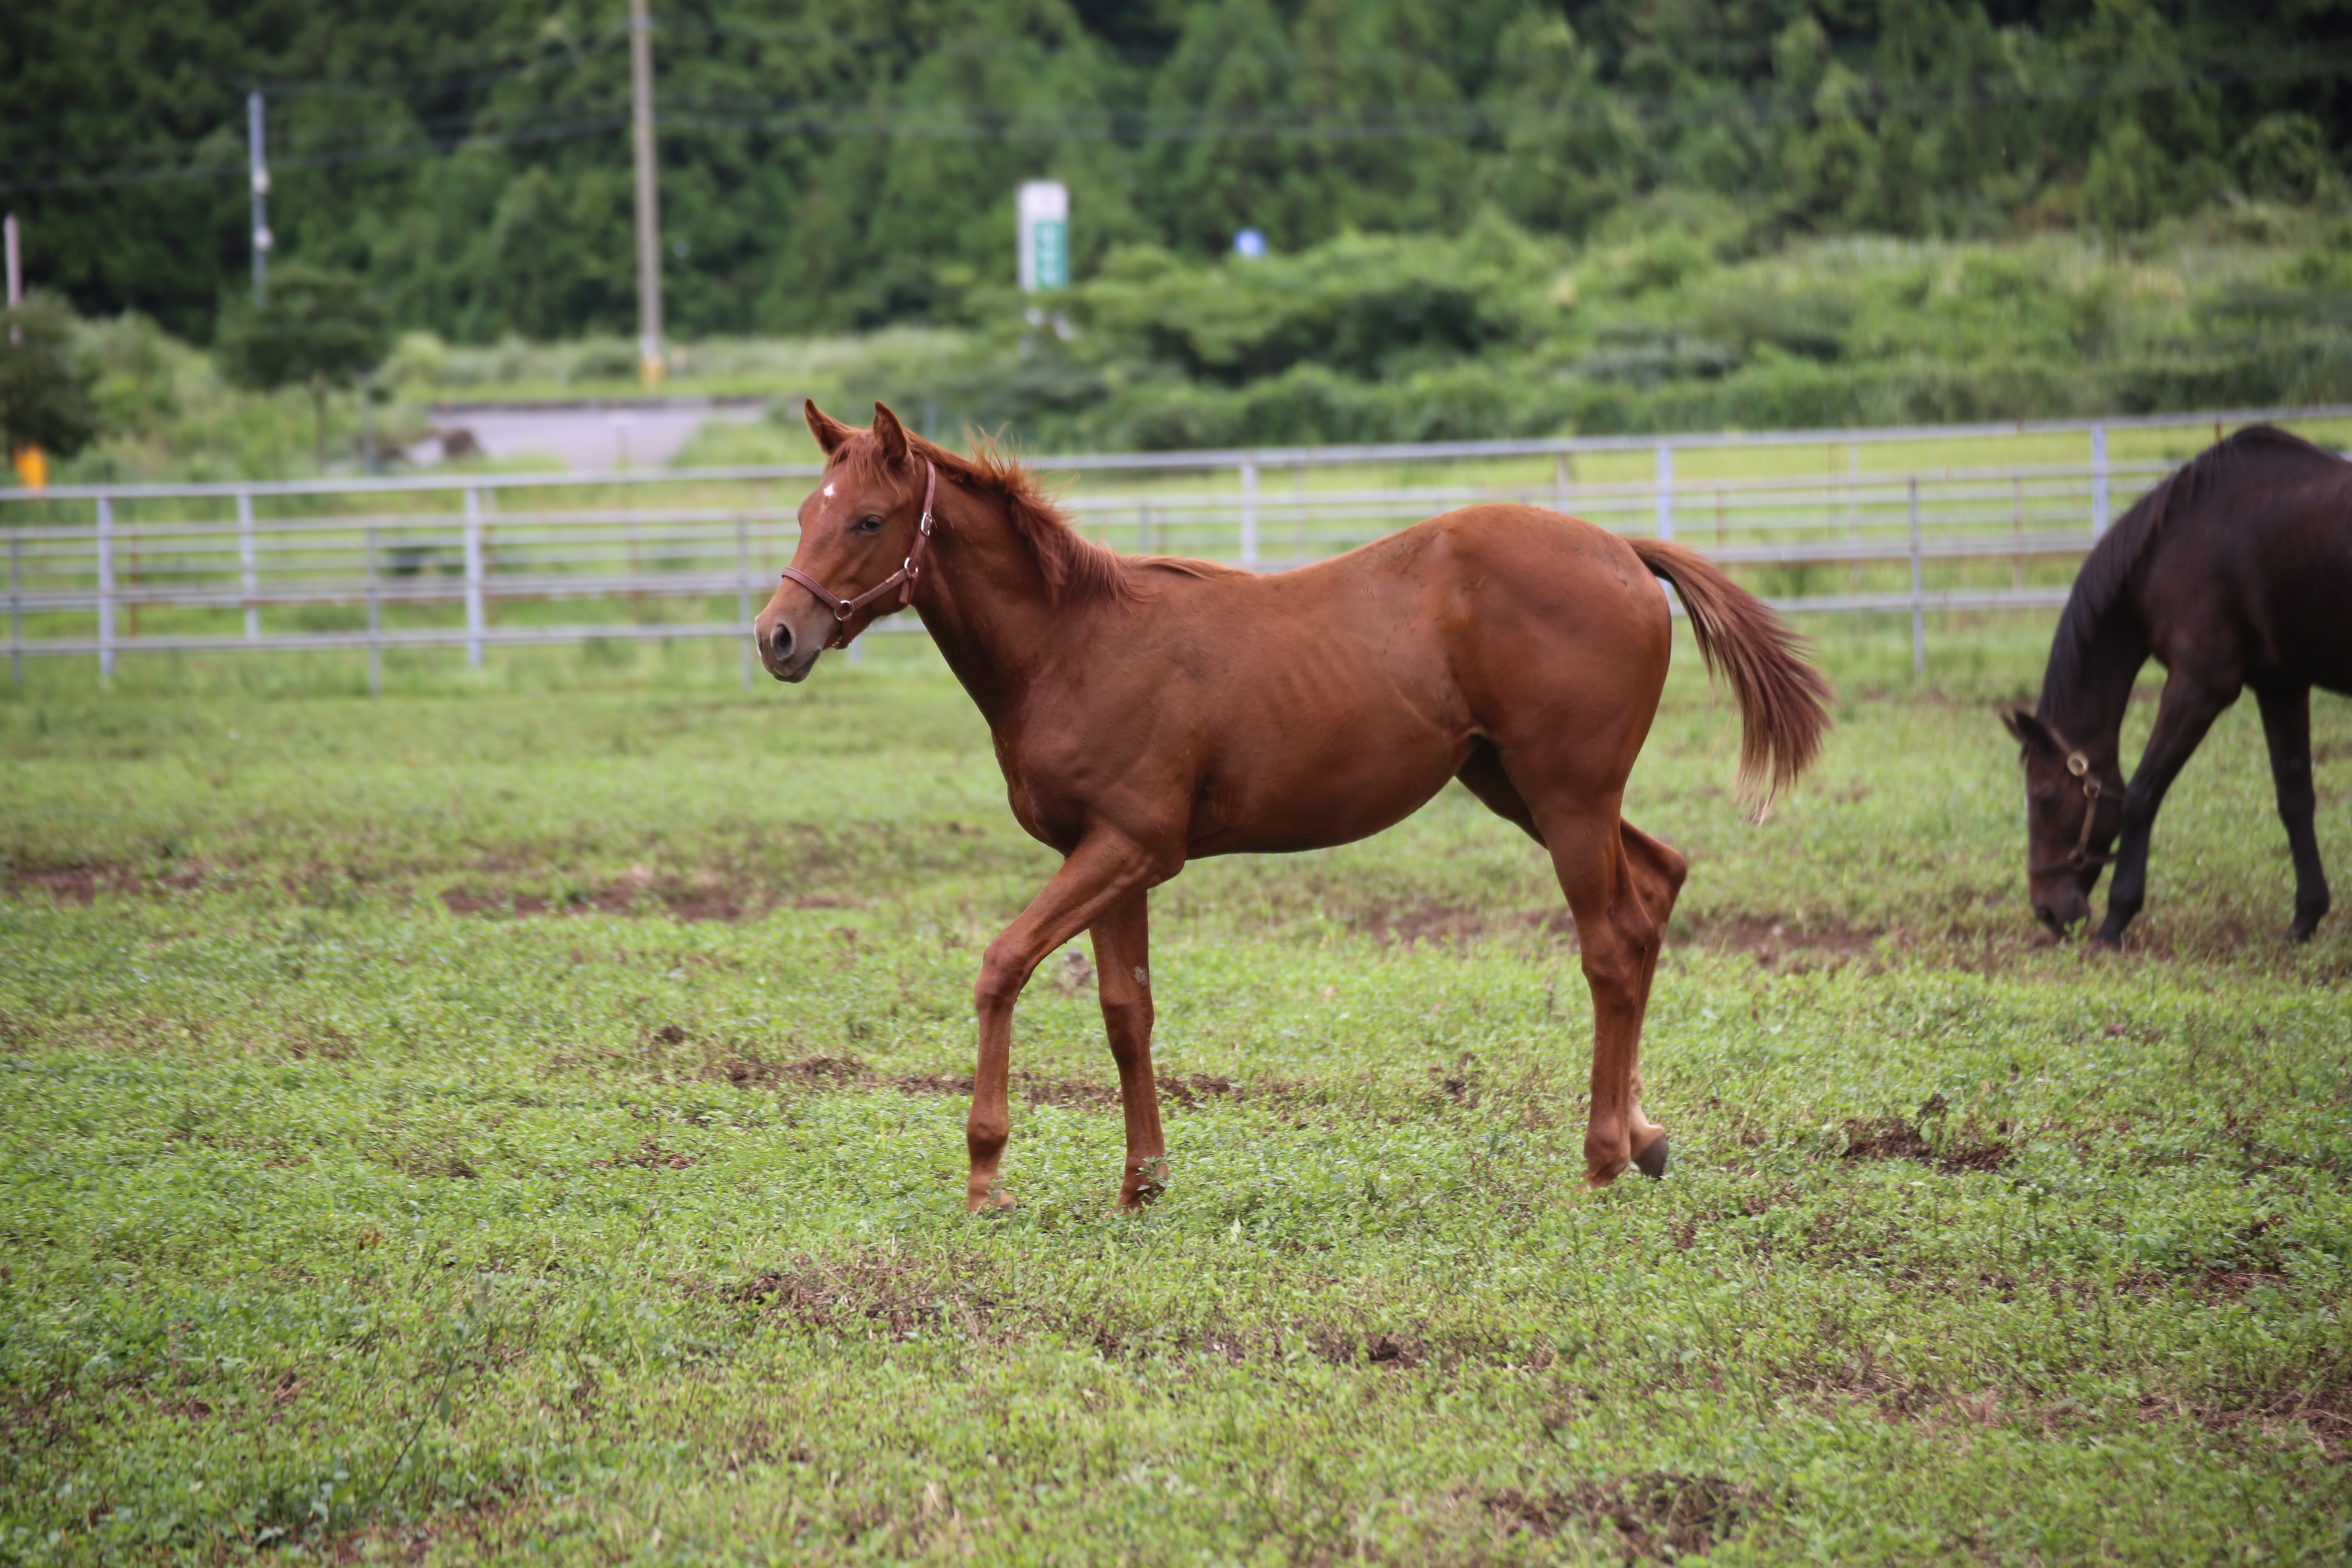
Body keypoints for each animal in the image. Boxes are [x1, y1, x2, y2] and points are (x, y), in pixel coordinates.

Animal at [757, 404, 1834, 1213]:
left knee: (1609, 944)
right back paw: (1646, 1134)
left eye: (867, 521)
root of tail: (1622, 548)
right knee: (1655, 888)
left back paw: (1602, 1155)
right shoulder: (1109, 858)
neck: (1073, 644)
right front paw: (1142, 1183)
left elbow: (1001, 965)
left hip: (1567, 796)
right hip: (1518, 787)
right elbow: (1125, 1012)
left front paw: (985, 1171)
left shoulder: (1128, 848)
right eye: (804, 510)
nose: (776, 636)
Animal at [2004, 423, 2352, 949]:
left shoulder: (2200, 686)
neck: (2177, 540)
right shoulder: (2281, 686)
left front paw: (2116, 921)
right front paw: (2305, 919)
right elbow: (2295, 800)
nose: (2046, 911)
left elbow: (2139, 797)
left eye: (2046, 798)